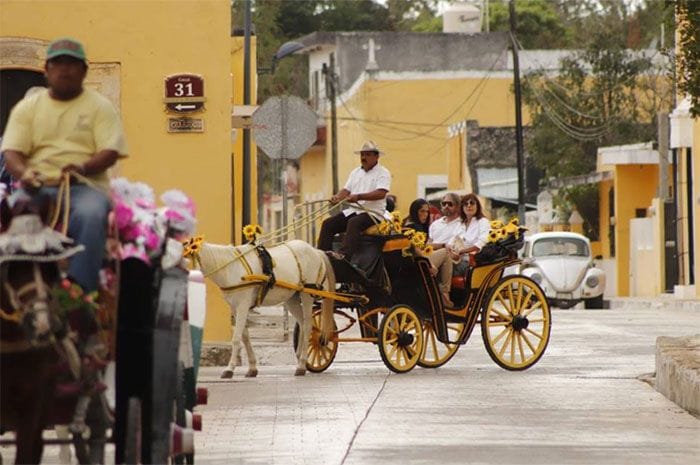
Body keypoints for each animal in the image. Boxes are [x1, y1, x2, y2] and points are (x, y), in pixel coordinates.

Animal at [196, 239, 338, 376]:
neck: (231, 267)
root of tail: (315, 250)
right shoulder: (235, 308)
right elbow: (245, 336)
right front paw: (252, 368)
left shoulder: (243, 305)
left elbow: (236, 338)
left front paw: (229, 369)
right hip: (291, 299)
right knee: (302, 324)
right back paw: (299, 359)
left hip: (307, 294)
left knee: (308, 326)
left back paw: (302, 365)